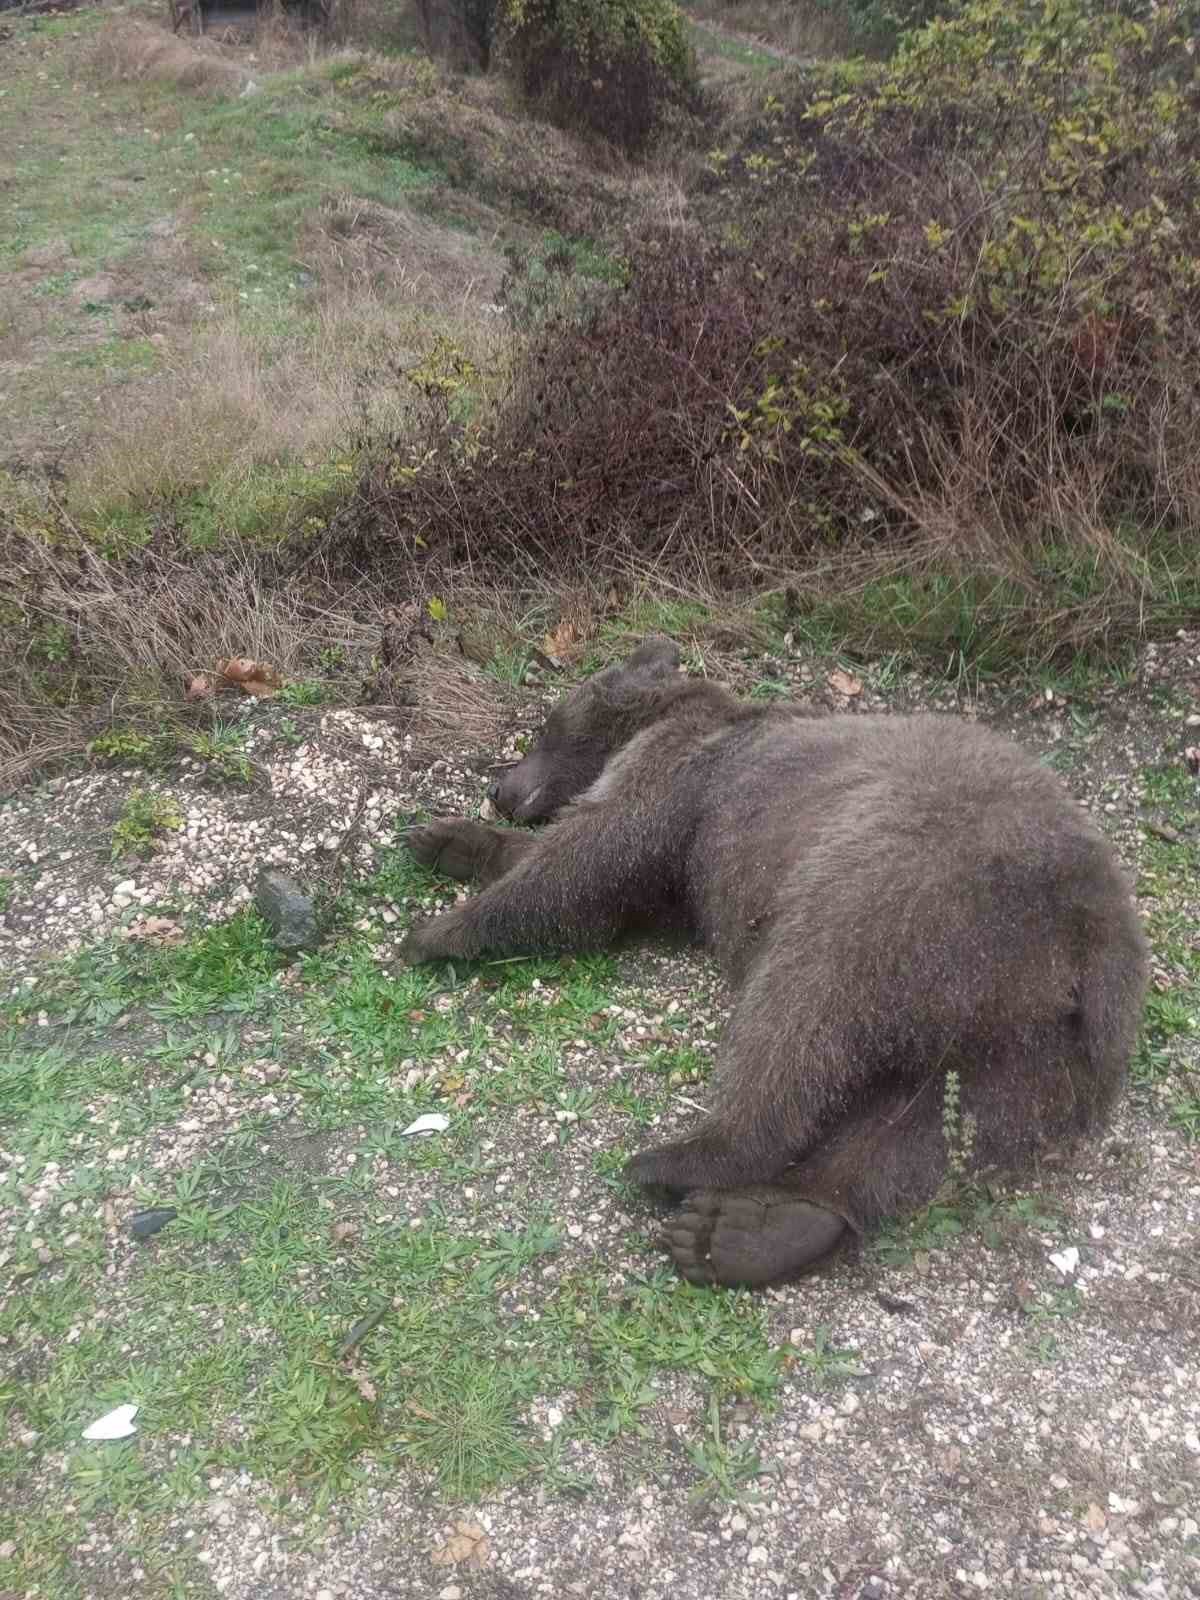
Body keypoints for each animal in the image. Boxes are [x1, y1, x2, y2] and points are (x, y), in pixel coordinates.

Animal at [400, 636, 1152, 1286]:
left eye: (544, 726)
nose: (499, 788)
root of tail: (1085, 931)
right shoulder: (685, 865)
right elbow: (604, 888)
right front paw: (448, 839)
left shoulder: (684, 776)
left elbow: (593, 857)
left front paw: (435, 930)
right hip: (1043, 1042)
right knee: (938, 1122)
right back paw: (763, 1229)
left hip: (899, 899)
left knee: (798, 1018)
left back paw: (681, 1162)